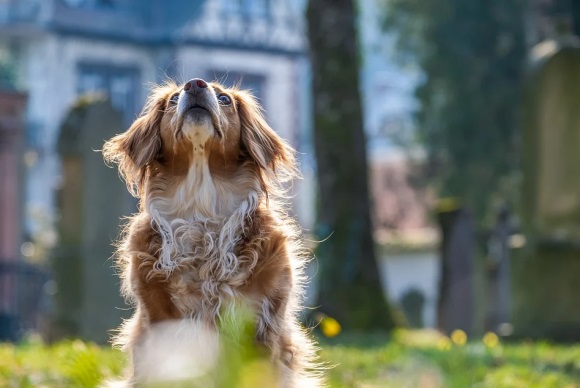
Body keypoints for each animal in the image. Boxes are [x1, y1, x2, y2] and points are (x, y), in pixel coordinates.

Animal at [104, 77, 322, 386]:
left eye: (225, 99)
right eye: (173, 100)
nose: (195, 84)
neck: (202, 209)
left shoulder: (262, 324)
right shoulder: (159, 323)